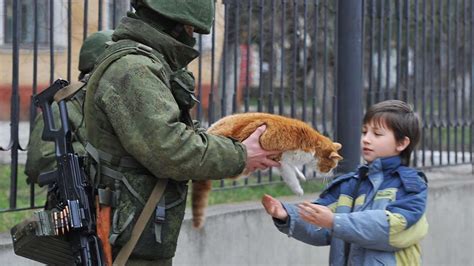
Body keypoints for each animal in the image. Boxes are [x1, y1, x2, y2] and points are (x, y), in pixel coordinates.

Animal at [191, 112, 342, 229]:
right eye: (330, 167)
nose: (328, 173)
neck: (313, 144)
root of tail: (209, 131)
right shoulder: (281, 156)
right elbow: (289, 174)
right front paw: (298, 189)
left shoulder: (283, 158)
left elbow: (293, 168)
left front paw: (301, 175)